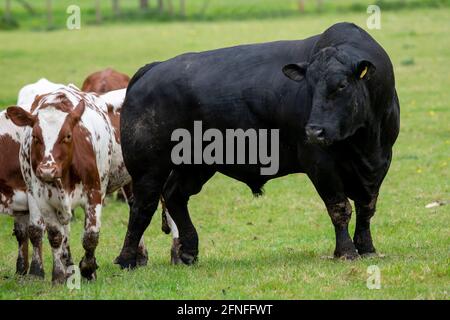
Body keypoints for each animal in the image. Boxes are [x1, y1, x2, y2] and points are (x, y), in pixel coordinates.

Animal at [6, 84, 146, 282]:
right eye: (35, 137)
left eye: (67, 136)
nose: (48, 170)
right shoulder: (42, 200)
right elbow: (56, 236)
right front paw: (58, 275)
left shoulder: (94, 193)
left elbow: (90, 236)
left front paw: (88, 269)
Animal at [116, 21, 400, 268]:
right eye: (309, 87)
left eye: (341, 85)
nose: (314, 130)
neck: (365, 141)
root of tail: (153, 69)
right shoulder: (320, 164)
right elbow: (340, 208)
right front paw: (346, 252)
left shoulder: (380, 162)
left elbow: (366, 207)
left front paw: (367, 248)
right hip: (148, 169)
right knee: (142, 206)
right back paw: (127, 259)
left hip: (196, 165)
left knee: (175, 195)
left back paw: (188, 252)